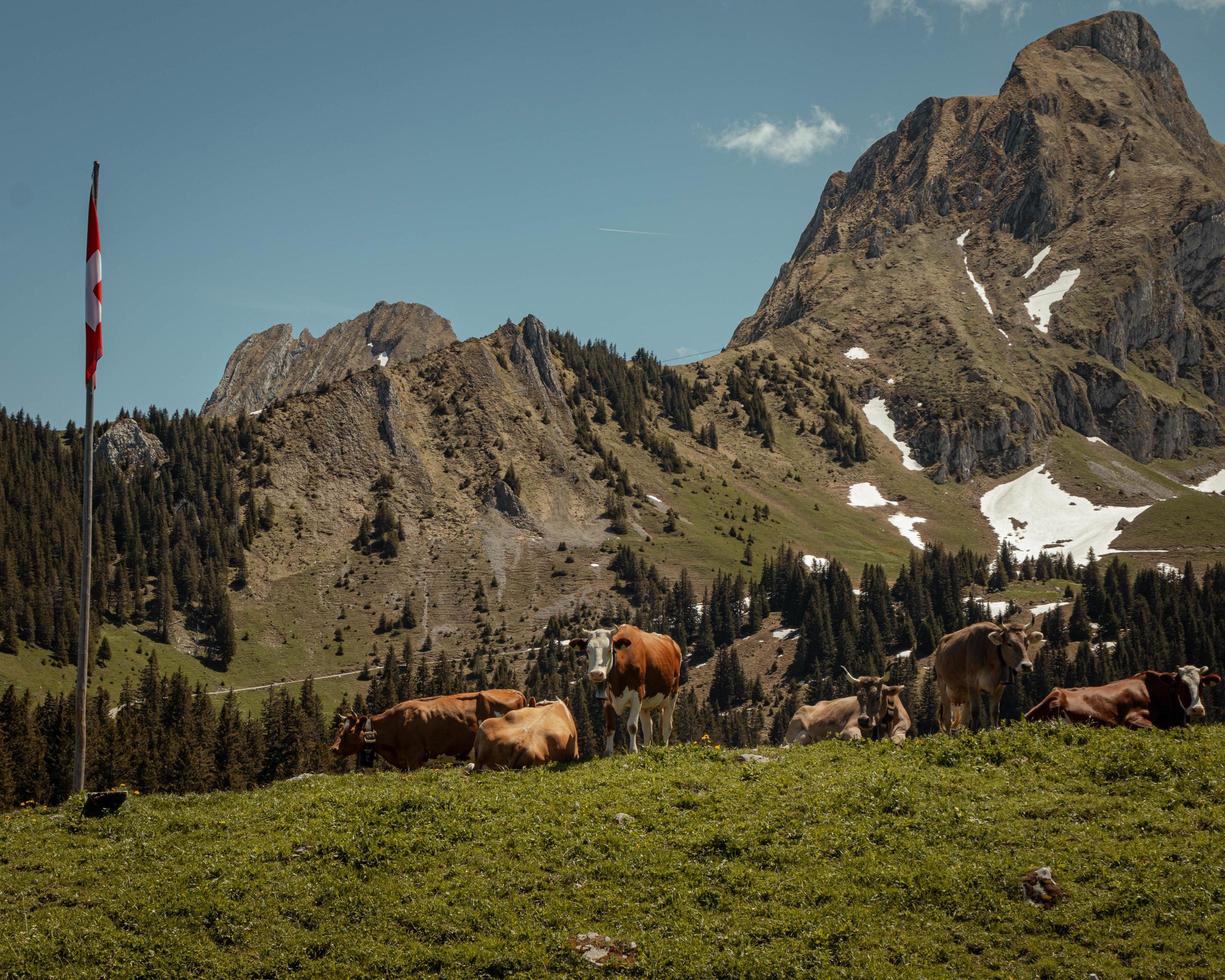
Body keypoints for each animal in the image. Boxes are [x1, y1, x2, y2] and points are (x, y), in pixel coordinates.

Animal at [570, 624, 686, 754]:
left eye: (609, 650)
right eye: (588, 651)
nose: (596, 674)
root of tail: (673, 644)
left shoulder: (637, 693)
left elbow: (632, 726)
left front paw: (633, 750)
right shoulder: (608, 699)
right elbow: (610, 728)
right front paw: (608, 753)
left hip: (672, 694)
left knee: (667, 724)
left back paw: (663, 746)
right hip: (646, 704)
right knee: (648, 726)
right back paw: (647, 748)